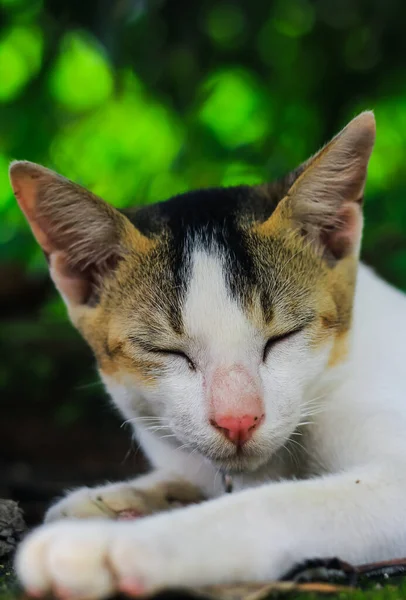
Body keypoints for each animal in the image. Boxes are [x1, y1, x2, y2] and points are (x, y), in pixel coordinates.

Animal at [10, 111, 406, 596]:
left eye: (283, 336)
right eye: (164, 350)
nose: (239, 420)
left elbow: (269, 504)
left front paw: (115, 545)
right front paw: (114, 498)